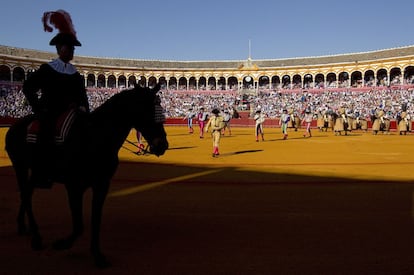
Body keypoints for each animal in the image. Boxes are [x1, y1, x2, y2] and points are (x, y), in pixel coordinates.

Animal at [4, 83, 169, 268]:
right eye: (145, 110)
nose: (162, 145)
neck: (95, 137)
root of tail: (14, 126)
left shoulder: (102, 185)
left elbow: (95, 219)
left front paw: (97, 255)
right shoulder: (74, 185)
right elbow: (79, 225)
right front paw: (62, 244)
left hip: (33, 171)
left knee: (27, 193)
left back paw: (22, 226)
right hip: (20, 165)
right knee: (25, 195)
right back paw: (36, 237)